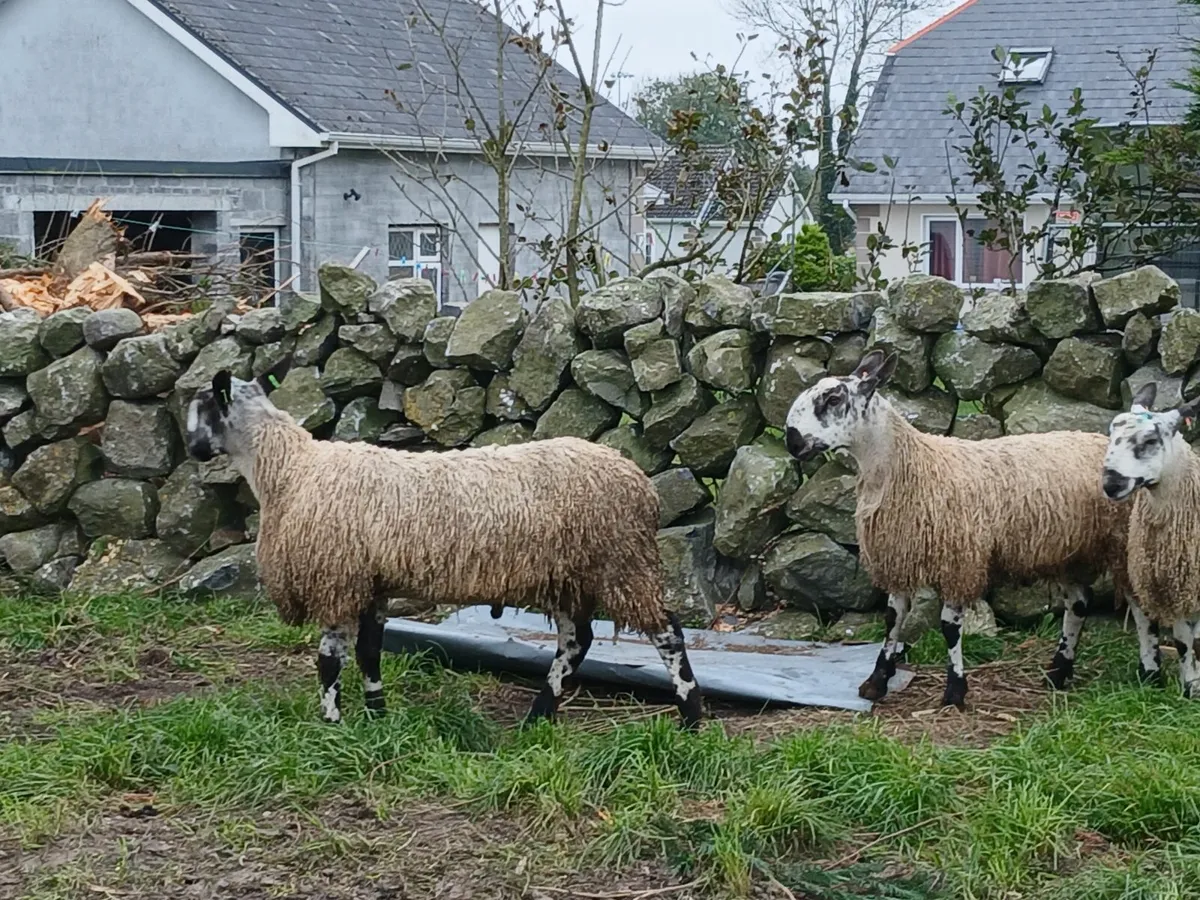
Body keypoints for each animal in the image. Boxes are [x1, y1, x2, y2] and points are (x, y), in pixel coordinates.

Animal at [184, 370, 703, 729]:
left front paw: (331, 723)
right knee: (577, 642)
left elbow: (329, 659)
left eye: (200, 410)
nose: (191, 451)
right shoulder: (372, 581)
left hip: (622, 563)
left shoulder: (338, 578)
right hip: (572, 573)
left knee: (667, 634)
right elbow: (370, 653)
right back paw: (538, 715)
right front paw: (377, 715)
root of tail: (642, 485)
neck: (290, 469)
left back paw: (691, 717)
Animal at [783, 350, 1145, 709]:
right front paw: (876, 681)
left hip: (1124, 544)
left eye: (833, 398)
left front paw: (955, 690)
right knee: (1079, 604)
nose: (791, 441)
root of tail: (1102, 441)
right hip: (1068, 549)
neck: (908, 465)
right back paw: (1057, 673)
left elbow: (949, 627)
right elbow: (893, 618)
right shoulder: (899, 556)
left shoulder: (959, 560)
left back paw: (1147, 671)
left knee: (1138, 606)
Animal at [1101, 382, 1200, 696]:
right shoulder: (1166, 581)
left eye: (1149, 440)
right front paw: (1187, 684)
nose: (1111, 484)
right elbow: (1179, 638)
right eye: (1111, 434)